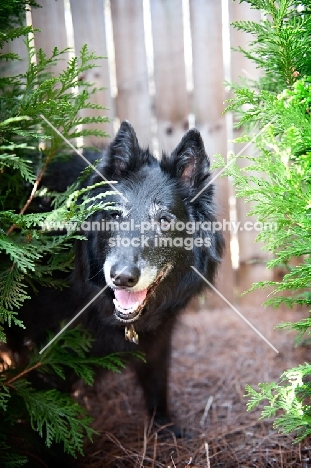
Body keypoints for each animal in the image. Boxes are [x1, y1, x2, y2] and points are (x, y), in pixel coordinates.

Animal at [6, 120, 224, 436]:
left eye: (164, 221)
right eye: (115, 215)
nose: (121, 278)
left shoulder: (159, 340)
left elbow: (157, 383)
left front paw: (164, 427)